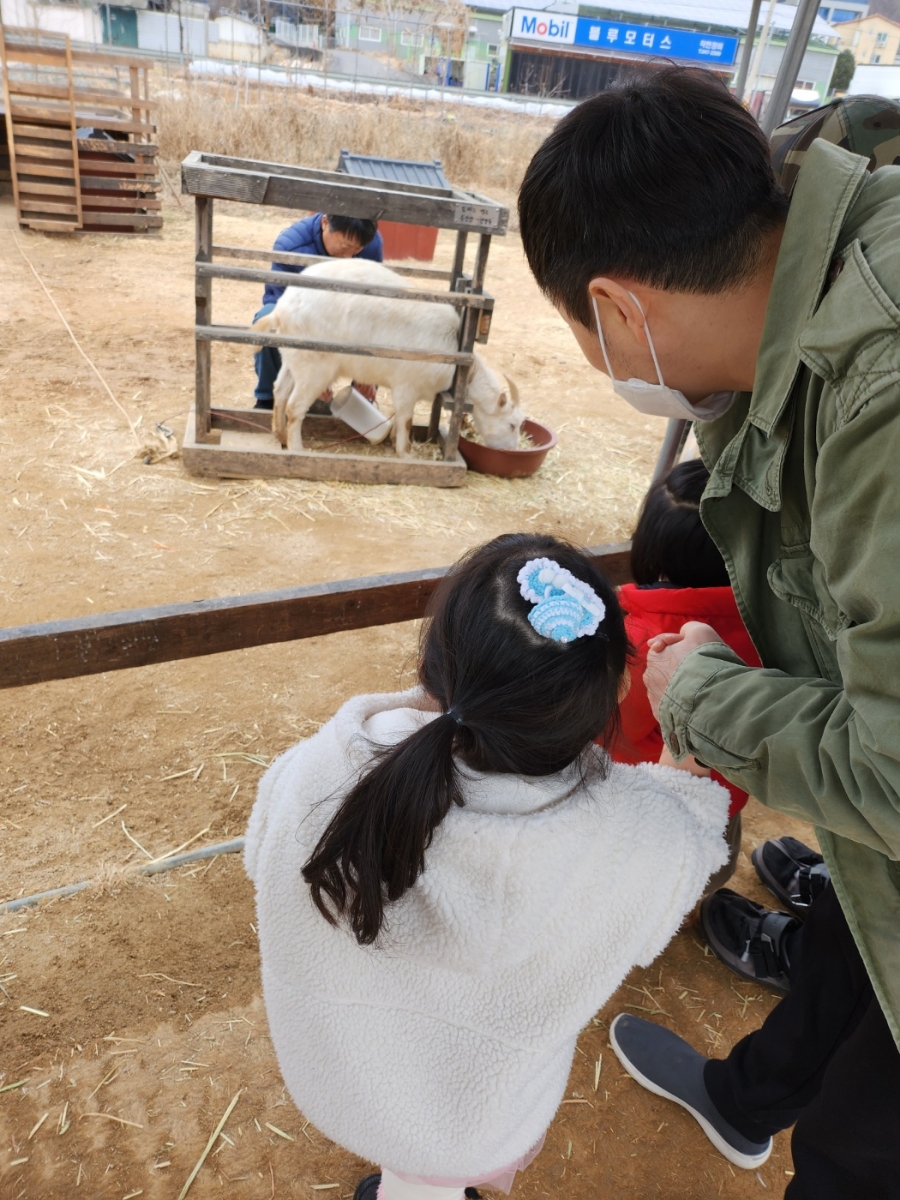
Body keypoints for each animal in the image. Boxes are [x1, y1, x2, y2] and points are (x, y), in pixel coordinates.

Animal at [250, 260, 525, 456]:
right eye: (512, 424)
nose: (510, 450)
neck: (459, 361)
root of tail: (281, 310)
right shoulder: (407, 387)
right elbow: (405, 419)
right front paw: (405, 453)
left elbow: (400, 419)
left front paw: (394, 442)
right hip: (315, 367)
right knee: (295, 406)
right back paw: (297, 449)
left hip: (294, 357)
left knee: (280, 391)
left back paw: (280, 436)